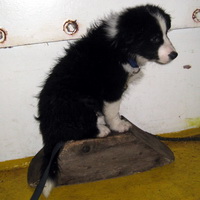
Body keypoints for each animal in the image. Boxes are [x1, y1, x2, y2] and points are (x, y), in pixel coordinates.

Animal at [37, 4, 178, 197]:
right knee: (73, 132)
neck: (121, 46)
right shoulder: (112, 88)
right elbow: (112, 110)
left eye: (166, 33)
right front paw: (118, 126)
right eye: (155, 38)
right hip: (79, 101)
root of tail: (48, 131)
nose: (174, 55)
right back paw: (101, 130)